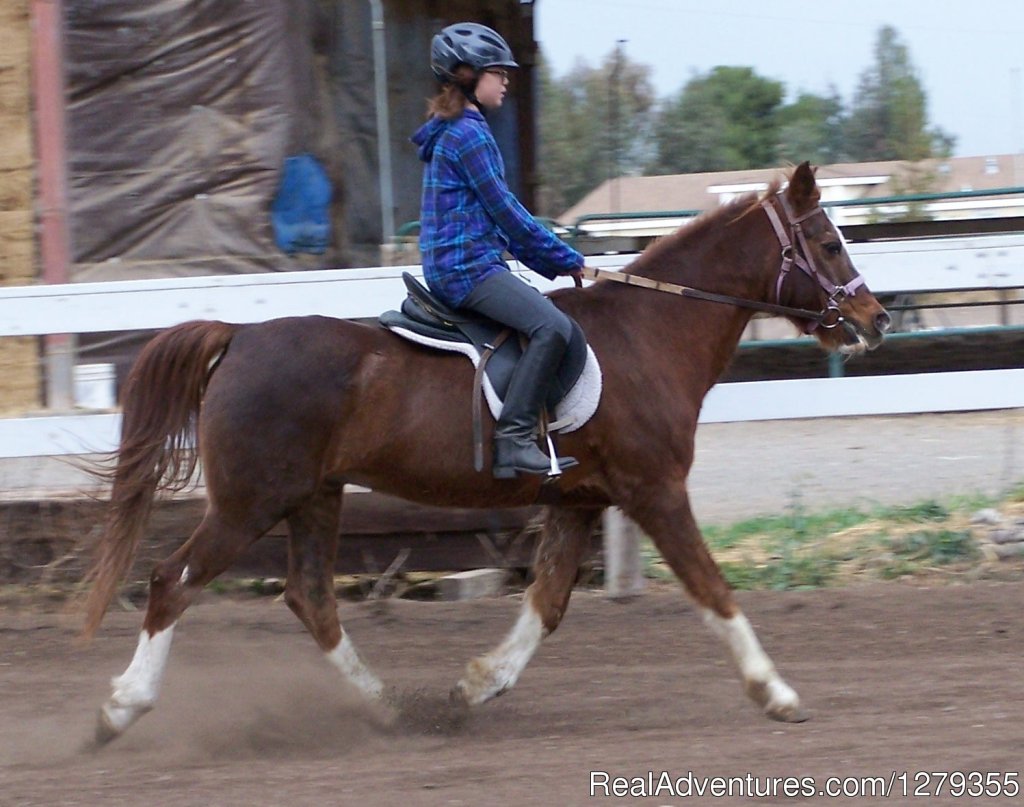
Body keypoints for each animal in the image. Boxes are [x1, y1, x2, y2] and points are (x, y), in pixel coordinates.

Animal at [83, 160, 892, 745]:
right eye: (828, 243)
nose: (875, 317)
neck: (650, 330)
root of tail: (240, 336)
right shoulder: (654, 490)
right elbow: (713, 589)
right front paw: (776, 693)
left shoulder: (578, 500)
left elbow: (548, 603)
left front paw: (475, 685)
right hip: (249, 503)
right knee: (172, 581)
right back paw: (118, 709)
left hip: (314, 497)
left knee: (310, 599)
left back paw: (386, 708)